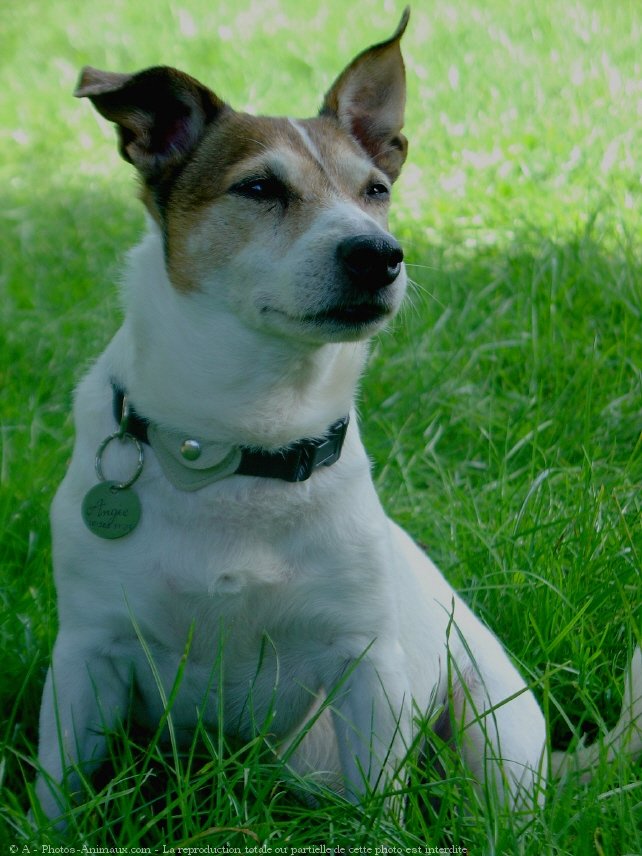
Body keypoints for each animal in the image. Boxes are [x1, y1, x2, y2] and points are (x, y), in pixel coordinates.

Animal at [37, 6, 636, 824]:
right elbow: (55, 794)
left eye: (375, 189)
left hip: (491, 726)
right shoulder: (86, 658)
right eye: (259, 187)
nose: (379, 254)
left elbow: (380, 806)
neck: (239, 441)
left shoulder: (367, 666)